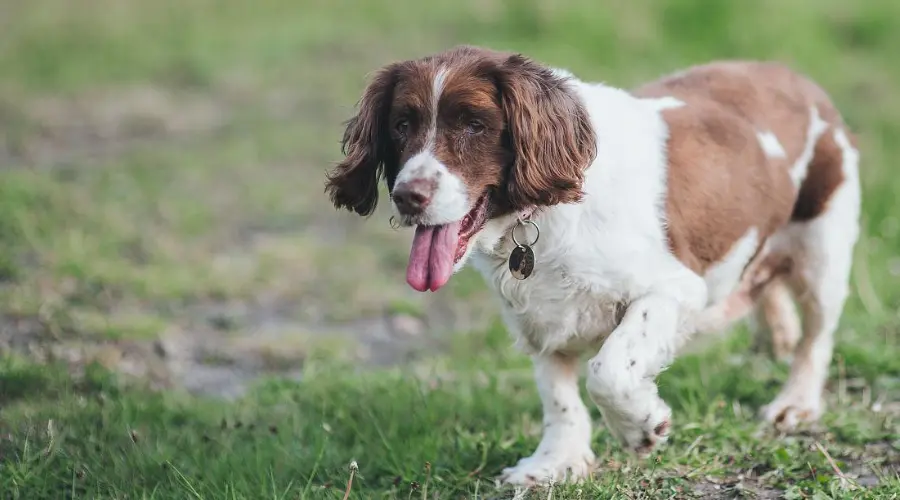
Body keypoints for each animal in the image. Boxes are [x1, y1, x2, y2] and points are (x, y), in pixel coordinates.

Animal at [324, 46, 856, 484]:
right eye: (401, 125)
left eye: (474, 124)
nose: (407, 196)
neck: (542, 213)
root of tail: (791, 74)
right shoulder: (537, 319)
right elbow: (559, 399)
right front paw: (554, 463)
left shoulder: (676, 287)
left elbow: (609, 369)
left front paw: (642, 427)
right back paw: (775, 335)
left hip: (823, 252)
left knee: (817, 338)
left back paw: (795, 404)